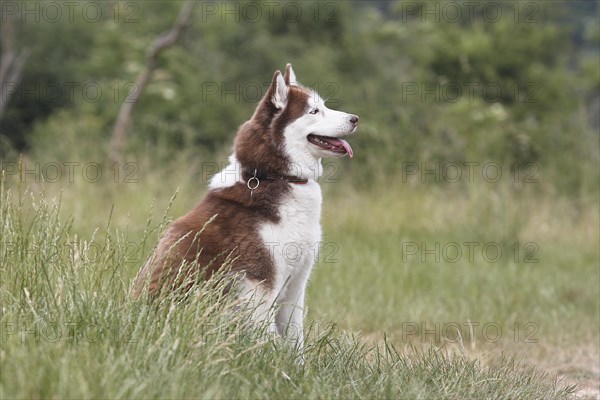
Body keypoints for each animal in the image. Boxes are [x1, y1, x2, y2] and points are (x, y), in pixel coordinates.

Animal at [130, 64, 356, 348]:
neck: (274, 176)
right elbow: (268, 338)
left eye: (323, 105)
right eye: (313, 111)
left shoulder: (296, 284)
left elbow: (295, 340)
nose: (355, 118)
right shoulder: (260, 284)